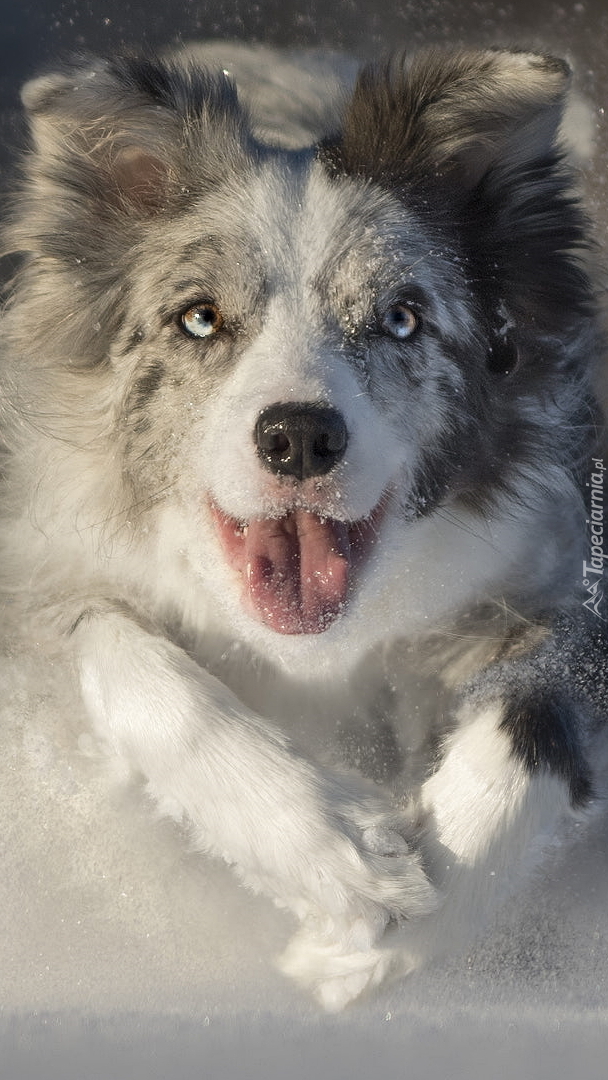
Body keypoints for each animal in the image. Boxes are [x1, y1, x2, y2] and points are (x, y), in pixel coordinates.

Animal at [0, 44, 604, 1010]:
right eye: (199, 317)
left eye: (401, 317)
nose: (298, 437)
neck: (309, 655)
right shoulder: (40, 572)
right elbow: (126, 651)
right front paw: (336, 854)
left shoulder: (544, 579)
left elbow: (534, 720)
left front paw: (395, 932)